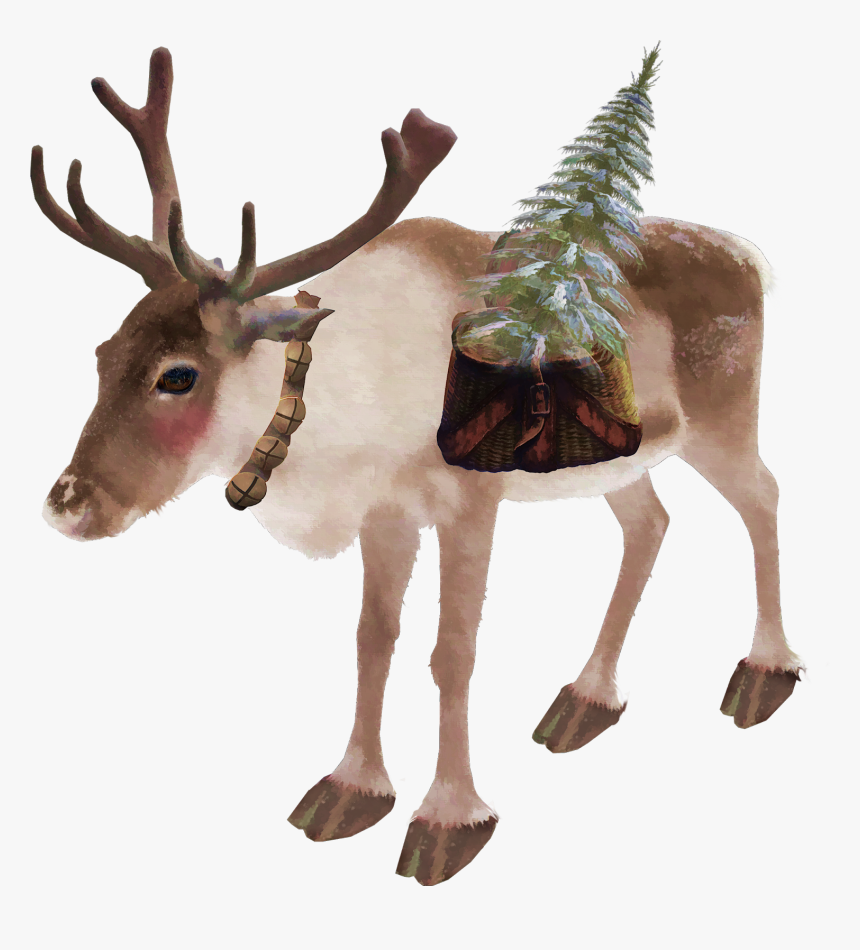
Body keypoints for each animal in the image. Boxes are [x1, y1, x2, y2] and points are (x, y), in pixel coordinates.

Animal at [34, 48, 803, 886]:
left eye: (177, 375)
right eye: (103, 353)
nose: (67, 502)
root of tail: (752, 259)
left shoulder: (469, 501)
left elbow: (453, 652)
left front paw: (449, 819)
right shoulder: (388, 515)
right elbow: (373, 637)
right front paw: (351, 789)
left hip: (723, 419)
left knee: (765, 495)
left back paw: (765, 673)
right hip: (625, 459)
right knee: (653, 523)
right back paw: (587, 699)